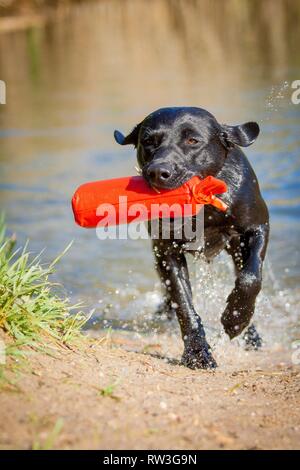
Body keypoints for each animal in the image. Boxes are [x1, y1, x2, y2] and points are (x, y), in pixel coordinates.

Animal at [115, 108, 270, 370]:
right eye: (148, 141)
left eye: (193, 141)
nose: (158, 172)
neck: (202, 209)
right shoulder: (167, 252)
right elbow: (184, 305)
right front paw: (197, 354)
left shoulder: (258, 227)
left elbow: (251, 279)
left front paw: (235, 319)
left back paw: (251, 335)